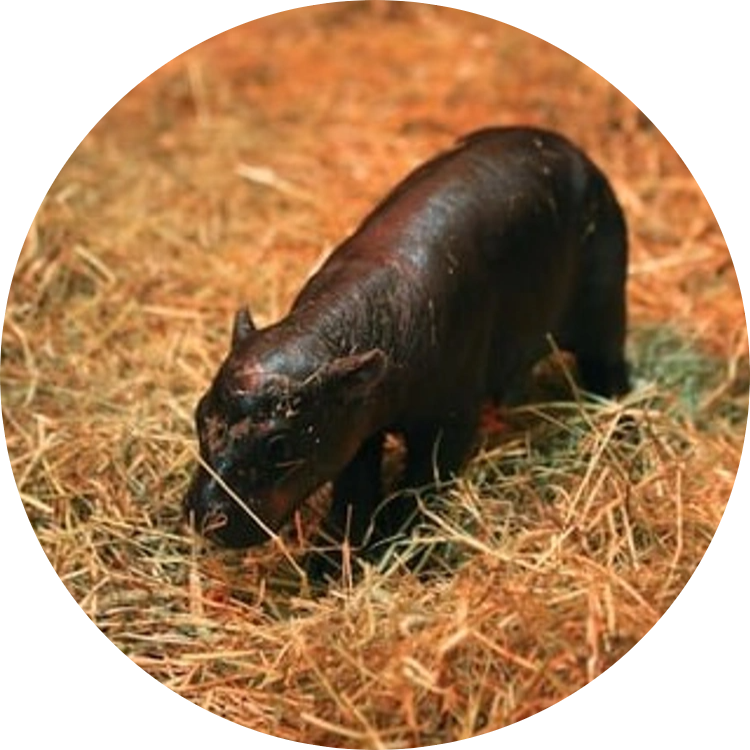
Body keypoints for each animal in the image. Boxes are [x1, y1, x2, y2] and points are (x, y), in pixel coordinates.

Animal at [183, 126, 629, 560]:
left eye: (278, 445)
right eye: (200, 413)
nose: (204, 516)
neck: (331, 335)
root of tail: (577, 152)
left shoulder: (451, 418)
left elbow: (421, 482)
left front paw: (393, 550)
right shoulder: (355, 425)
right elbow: (354, 489)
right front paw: (328, 561)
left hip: (605, 309)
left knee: (610, 366)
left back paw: (619, 423)